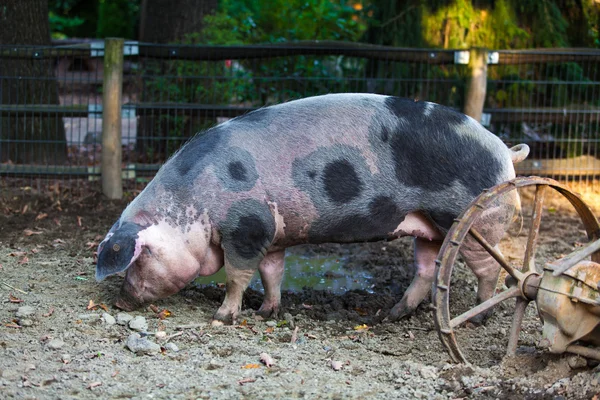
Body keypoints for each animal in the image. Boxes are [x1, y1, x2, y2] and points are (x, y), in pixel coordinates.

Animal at [97, 94, 528, 324]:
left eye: (138, 257)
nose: (118, 301)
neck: (192, 202)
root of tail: (506, 152)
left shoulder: (247, 225)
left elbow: (237, 276)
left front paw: (223, 317)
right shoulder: (273, 234)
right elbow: (272, 274)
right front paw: (266, 312)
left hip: (471, 223)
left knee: (490, 268)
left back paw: (480, 314)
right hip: (429, 227)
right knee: (425, 269)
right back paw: (389, 316)